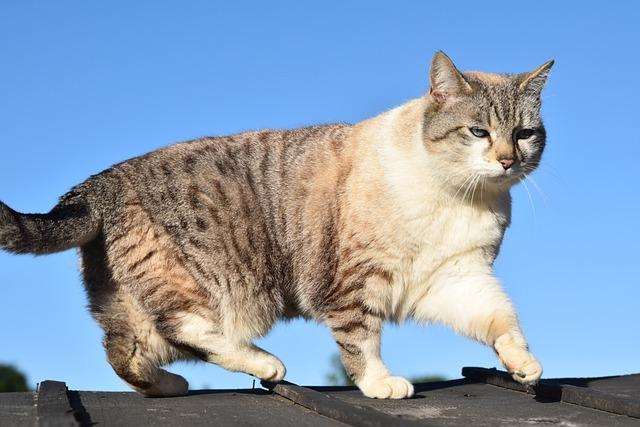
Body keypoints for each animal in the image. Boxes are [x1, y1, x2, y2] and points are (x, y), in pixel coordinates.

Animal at [0, 51, 552, 400]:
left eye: (524, 134)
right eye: (478, 132)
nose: (507, 160)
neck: (460, 195)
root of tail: (100, 183)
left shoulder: (455, 277)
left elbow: (501, 319)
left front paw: (524, 365)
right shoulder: (354, 282)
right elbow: (362, 340)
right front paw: (380, 384)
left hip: (132, 301)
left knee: (125, 352)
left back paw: (171, 386)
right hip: (210, 281)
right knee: (188, 327)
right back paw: (265, 363)